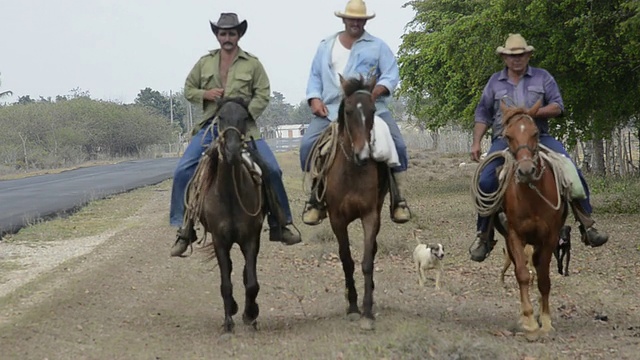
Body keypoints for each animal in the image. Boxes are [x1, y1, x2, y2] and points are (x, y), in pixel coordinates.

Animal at [322, 76, 388, 332]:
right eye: (348, 111)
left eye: (373, 111)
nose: (363, 155)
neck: (352, 170)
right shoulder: (337, 220)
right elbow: (347, 261)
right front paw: (352, 307)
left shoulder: (370, 215)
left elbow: (367, 261)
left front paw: (367, 312)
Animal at [498, 100, 568, 338]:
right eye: (508, 135)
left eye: (535, 133)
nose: (526, 170)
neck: (532, 196)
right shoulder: (514, 235)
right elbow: (522, 274)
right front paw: (528, 320)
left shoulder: (550, 237)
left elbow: (544, 278)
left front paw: (545, 321)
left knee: (539, 269)